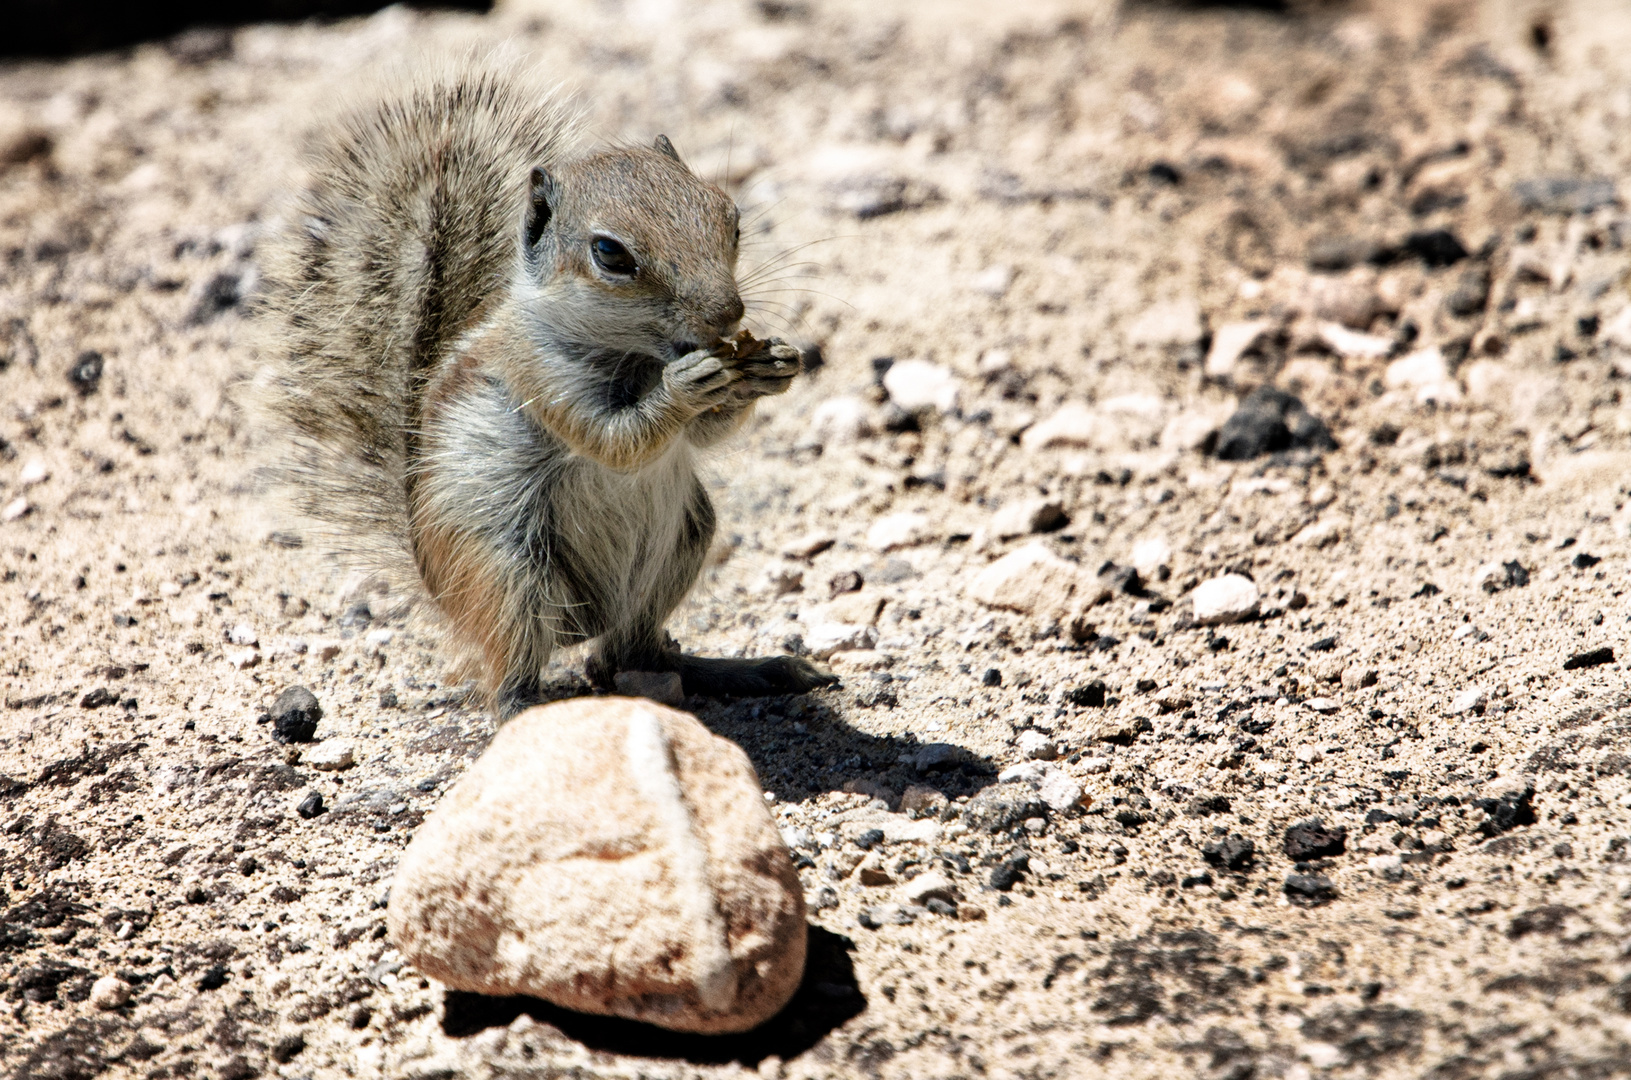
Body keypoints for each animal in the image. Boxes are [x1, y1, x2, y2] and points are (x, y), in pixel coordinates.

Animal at [264, 63, 841, 714]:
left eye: (731, 216)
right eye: (610, 253)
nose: (728, 313)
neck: (639, 358)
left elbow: (703, 435)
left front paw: (775, 363)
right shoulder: (539, 378)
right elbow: (617, 441)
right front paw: (685, 387)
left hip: (687, 539)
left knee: (628, 654)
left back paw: (742, 670)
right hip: (505, 573)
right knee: (515, 676)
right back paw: (531, 709)